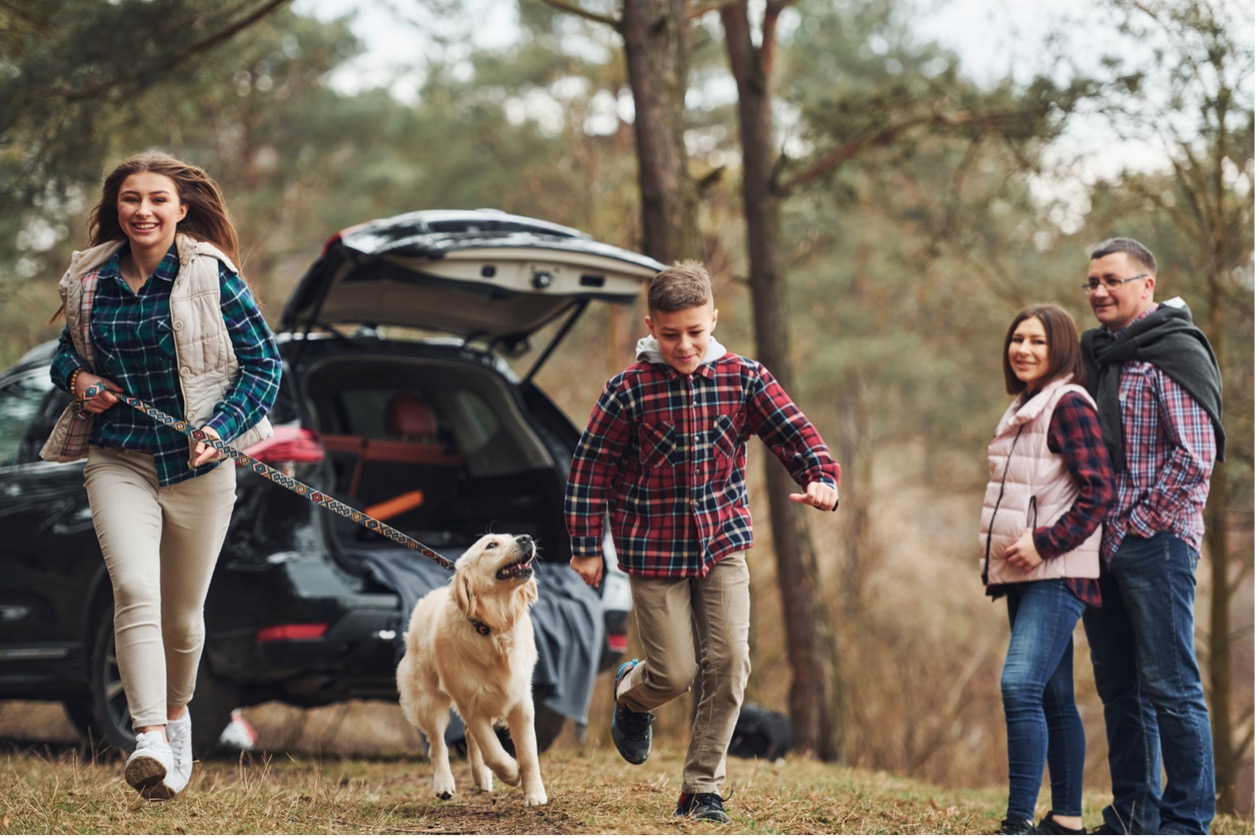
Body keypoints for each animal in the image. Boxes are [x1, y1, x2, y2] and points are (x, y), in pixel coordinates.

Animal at [395, 536, 548, 805]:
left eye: (511, 536)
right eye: (491, 545)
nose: (526, 538)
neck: (493, 630)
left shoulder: (520, 701)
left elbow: (528, 753)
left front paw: (535, 795)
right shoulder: (471, 704)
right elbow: (493, 750)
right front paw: (511, 772)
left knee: (467, 736)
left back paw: (481, 777)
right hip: (427, 699)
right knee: (437, 743)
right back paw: (444, 783)